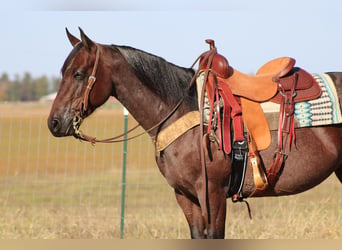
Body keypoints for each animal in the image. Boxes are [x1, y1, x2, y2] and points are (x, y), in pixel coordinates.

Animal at [47, 27, 342, 238]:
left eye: (79, 74)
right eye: (64, 72)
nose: (54, 123)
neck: (182, 109)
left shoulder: (212, 194)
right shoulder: (186, 197)